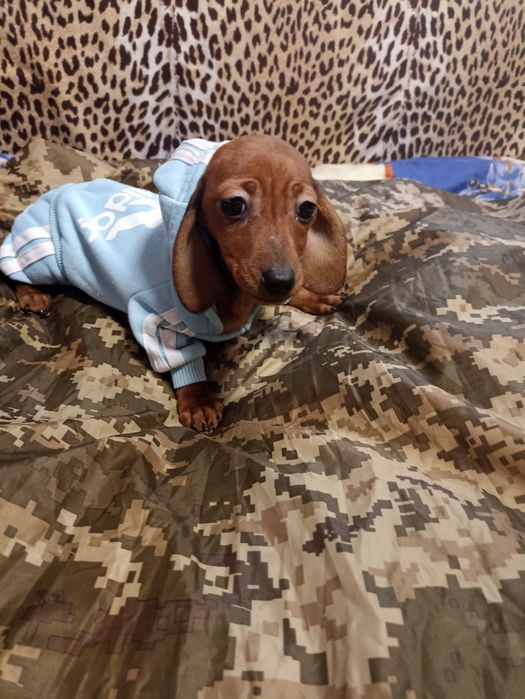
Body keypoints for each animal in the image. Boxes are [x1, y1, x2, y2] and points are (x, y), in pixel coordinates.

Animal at [1, 135, 347, 432]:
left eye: (307, 209)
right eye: (234, 205)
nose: (280, 281)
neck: (230, 288)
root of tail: (51, 193)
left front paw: (312, 296)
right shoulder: (154, 316)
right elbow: (184, 356)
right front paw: (198, 399)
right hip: (44, 256)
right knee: (11, 266)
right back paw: (32, 295)